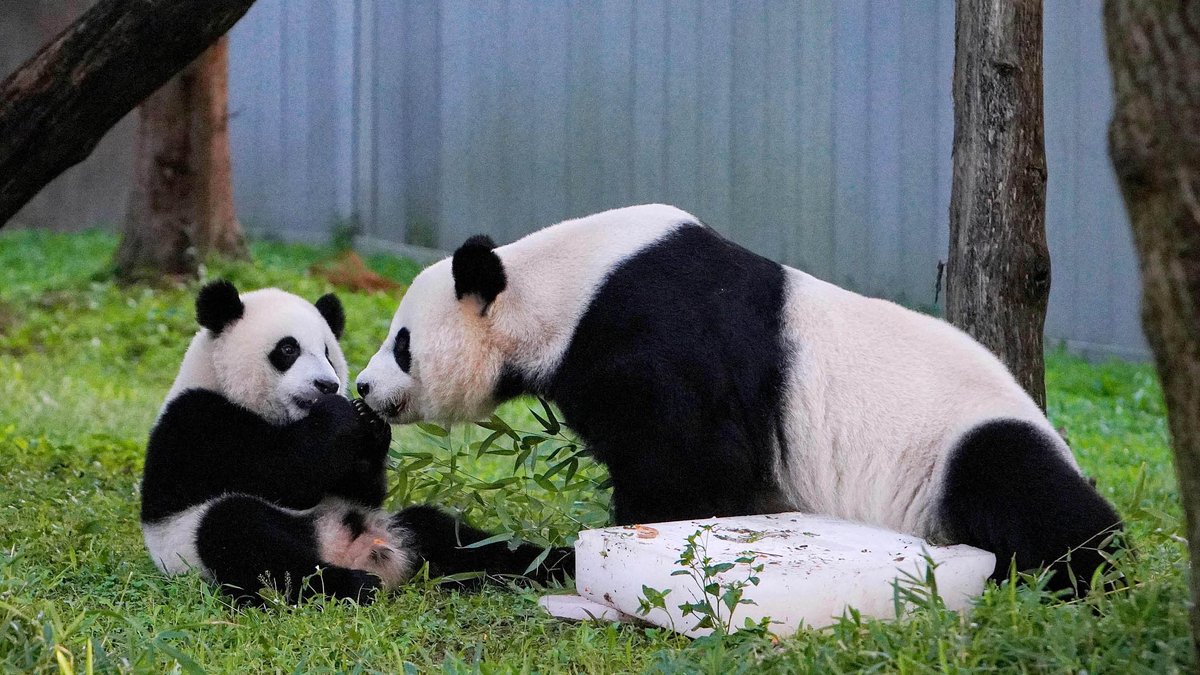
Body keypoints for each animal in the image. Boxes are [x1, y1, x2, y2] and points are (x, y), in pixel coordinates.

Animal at [140, 280, 573, 605]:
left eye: (328, 353)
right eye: (287, 349)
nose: (327, 384)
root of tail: (353, 551)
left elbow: (360, 488)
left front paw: (371, 423)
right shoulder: (200, 421)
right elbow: (282, 474)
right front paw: (342, 415)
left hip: (394, 526)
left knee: (456, 540)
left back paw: (555, 563)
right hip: (193, 543)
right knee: (242, 535)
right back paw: (352, 585)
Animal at [354, 203, 1124, 596]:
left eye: (402, 343)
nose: (363, 388)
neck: (561, 284)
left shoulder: (654, 335)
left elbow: (692, 468)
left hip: (963, 439)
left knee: (1026, 492)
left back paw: (1081, 576)